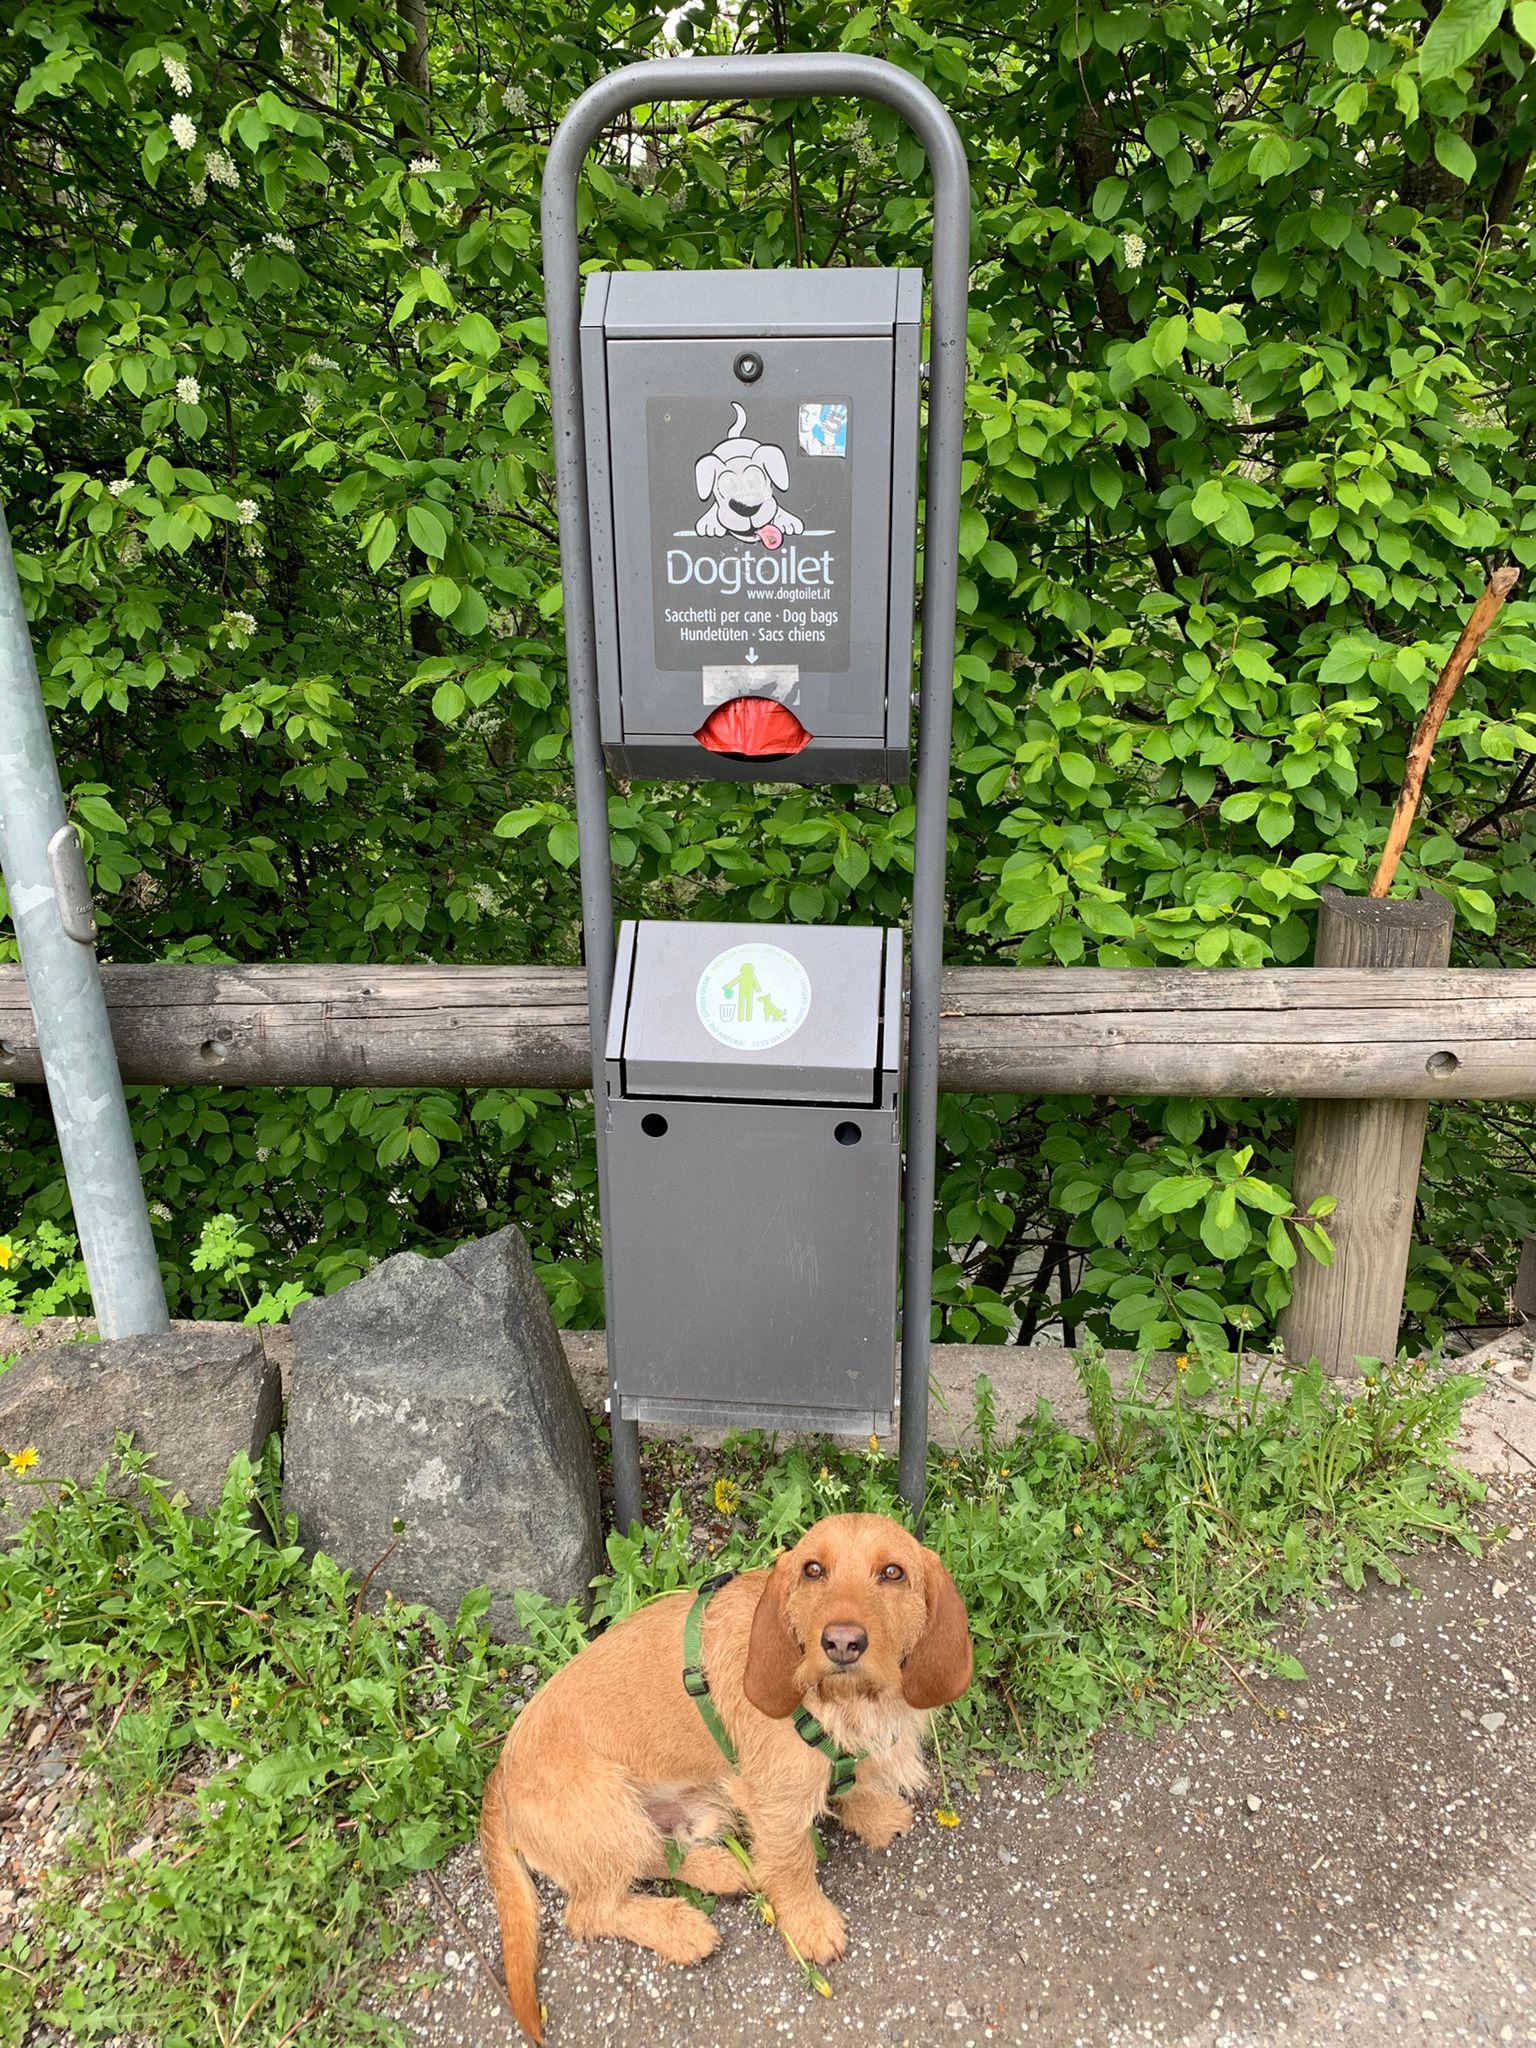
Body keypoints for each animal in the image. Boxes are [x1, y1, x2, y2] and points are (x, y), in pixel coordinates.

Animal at [480, 1511, 972, 2041]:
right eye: (813, 1570)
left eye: (893, 1573)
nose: (842, 1642)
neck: (842, 1703)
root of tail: (499, 1775)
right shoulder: (774, 1802)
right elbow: (793, 1863)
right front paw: (809, 1922)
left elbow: (849, 1785)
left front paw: (873, 1814)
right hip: (606, 1811)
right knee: (589, 1911)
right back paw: (680, 1927)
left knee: (653, 1854)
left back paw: (721, 1869)